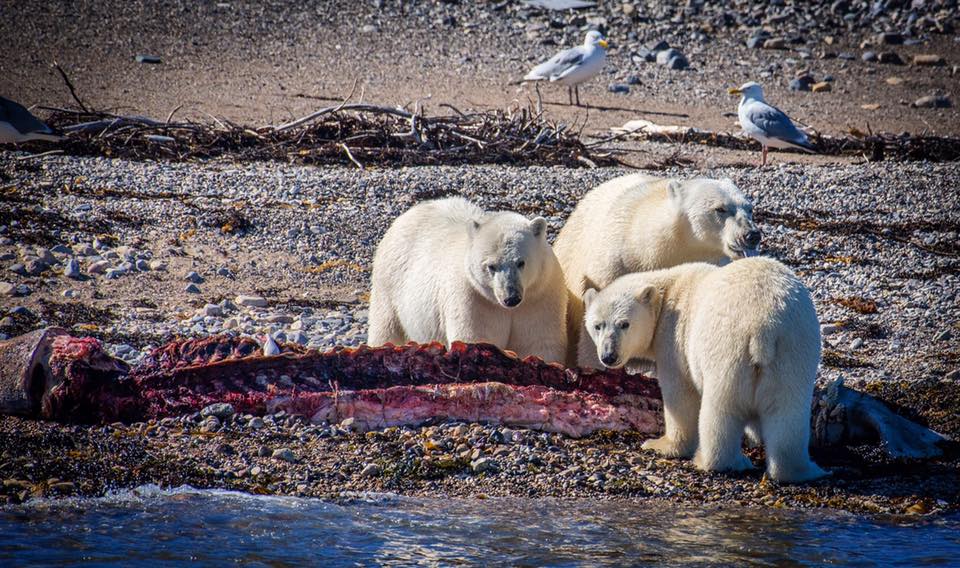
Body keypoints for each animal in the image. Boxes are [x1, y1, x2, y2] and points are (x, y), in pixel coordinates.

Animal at [366, 197, 564, 362]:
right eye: (491, 266)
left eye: (521, 262)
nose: (511, 298)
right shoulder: (474, 296)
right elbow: (475, 335)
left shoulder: (538, 296)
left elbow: (538, 341)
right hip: (389, 282)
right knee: (386, 327)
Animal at [580, 258, 828, 484]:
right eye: (597, 325)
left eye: (624, 324)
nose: (608, 356)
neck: (668, 291)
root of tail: (765, 326)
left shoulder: (673, 339)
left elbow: (679, 395)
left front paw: (662, 444)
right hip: (793, 351)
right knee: (787, 411)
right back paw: (803, 471)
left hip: (728, 349)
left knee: (720, 408)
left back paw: (713, 460)